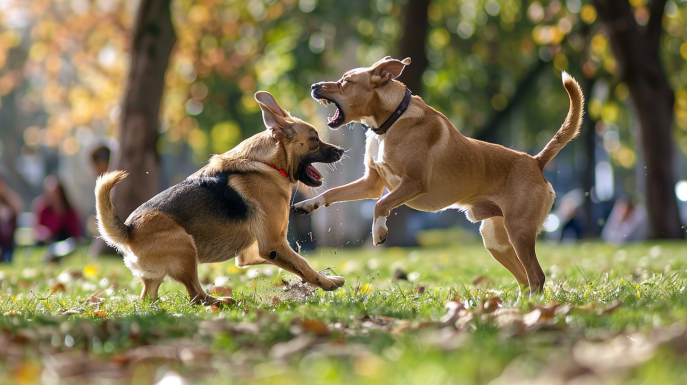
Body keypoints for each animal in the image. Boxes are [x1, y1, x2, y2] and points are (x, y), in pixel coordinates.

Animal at [292, 56, 584, 292]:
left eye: (346, 81)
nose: (314, 86)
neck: (391, 121)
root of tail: (536, 161)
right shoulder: (371, 183)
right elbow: (333, 192)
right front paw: (308, 204)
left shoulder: (413, 183)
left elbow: (380, 205)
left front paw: (379, 231)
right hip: (496, 241)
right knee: (524, 279)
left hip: (519, 233)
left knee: (537, 277)